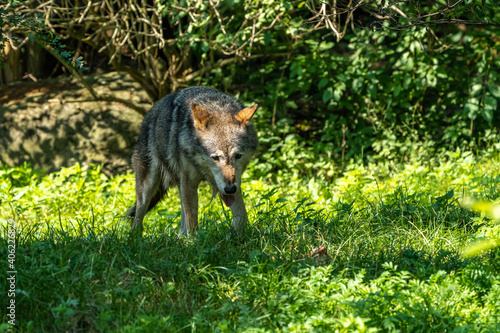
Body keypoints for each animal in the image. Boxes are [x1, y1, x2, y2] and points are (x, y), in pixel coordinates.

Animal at [126, 85, 258, 236]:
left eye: (238, 156)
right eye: (215, 158)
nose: (230, 189)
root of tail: (150, 112)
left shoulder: (234, 183)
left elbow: (242, 215)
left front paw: (233, 235)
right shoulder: (189, 182)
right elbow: (192, 222)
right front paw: (194, 241)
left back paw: (179, 238)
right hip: (148, 188)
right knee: (138, 217)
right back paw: (136, 237)